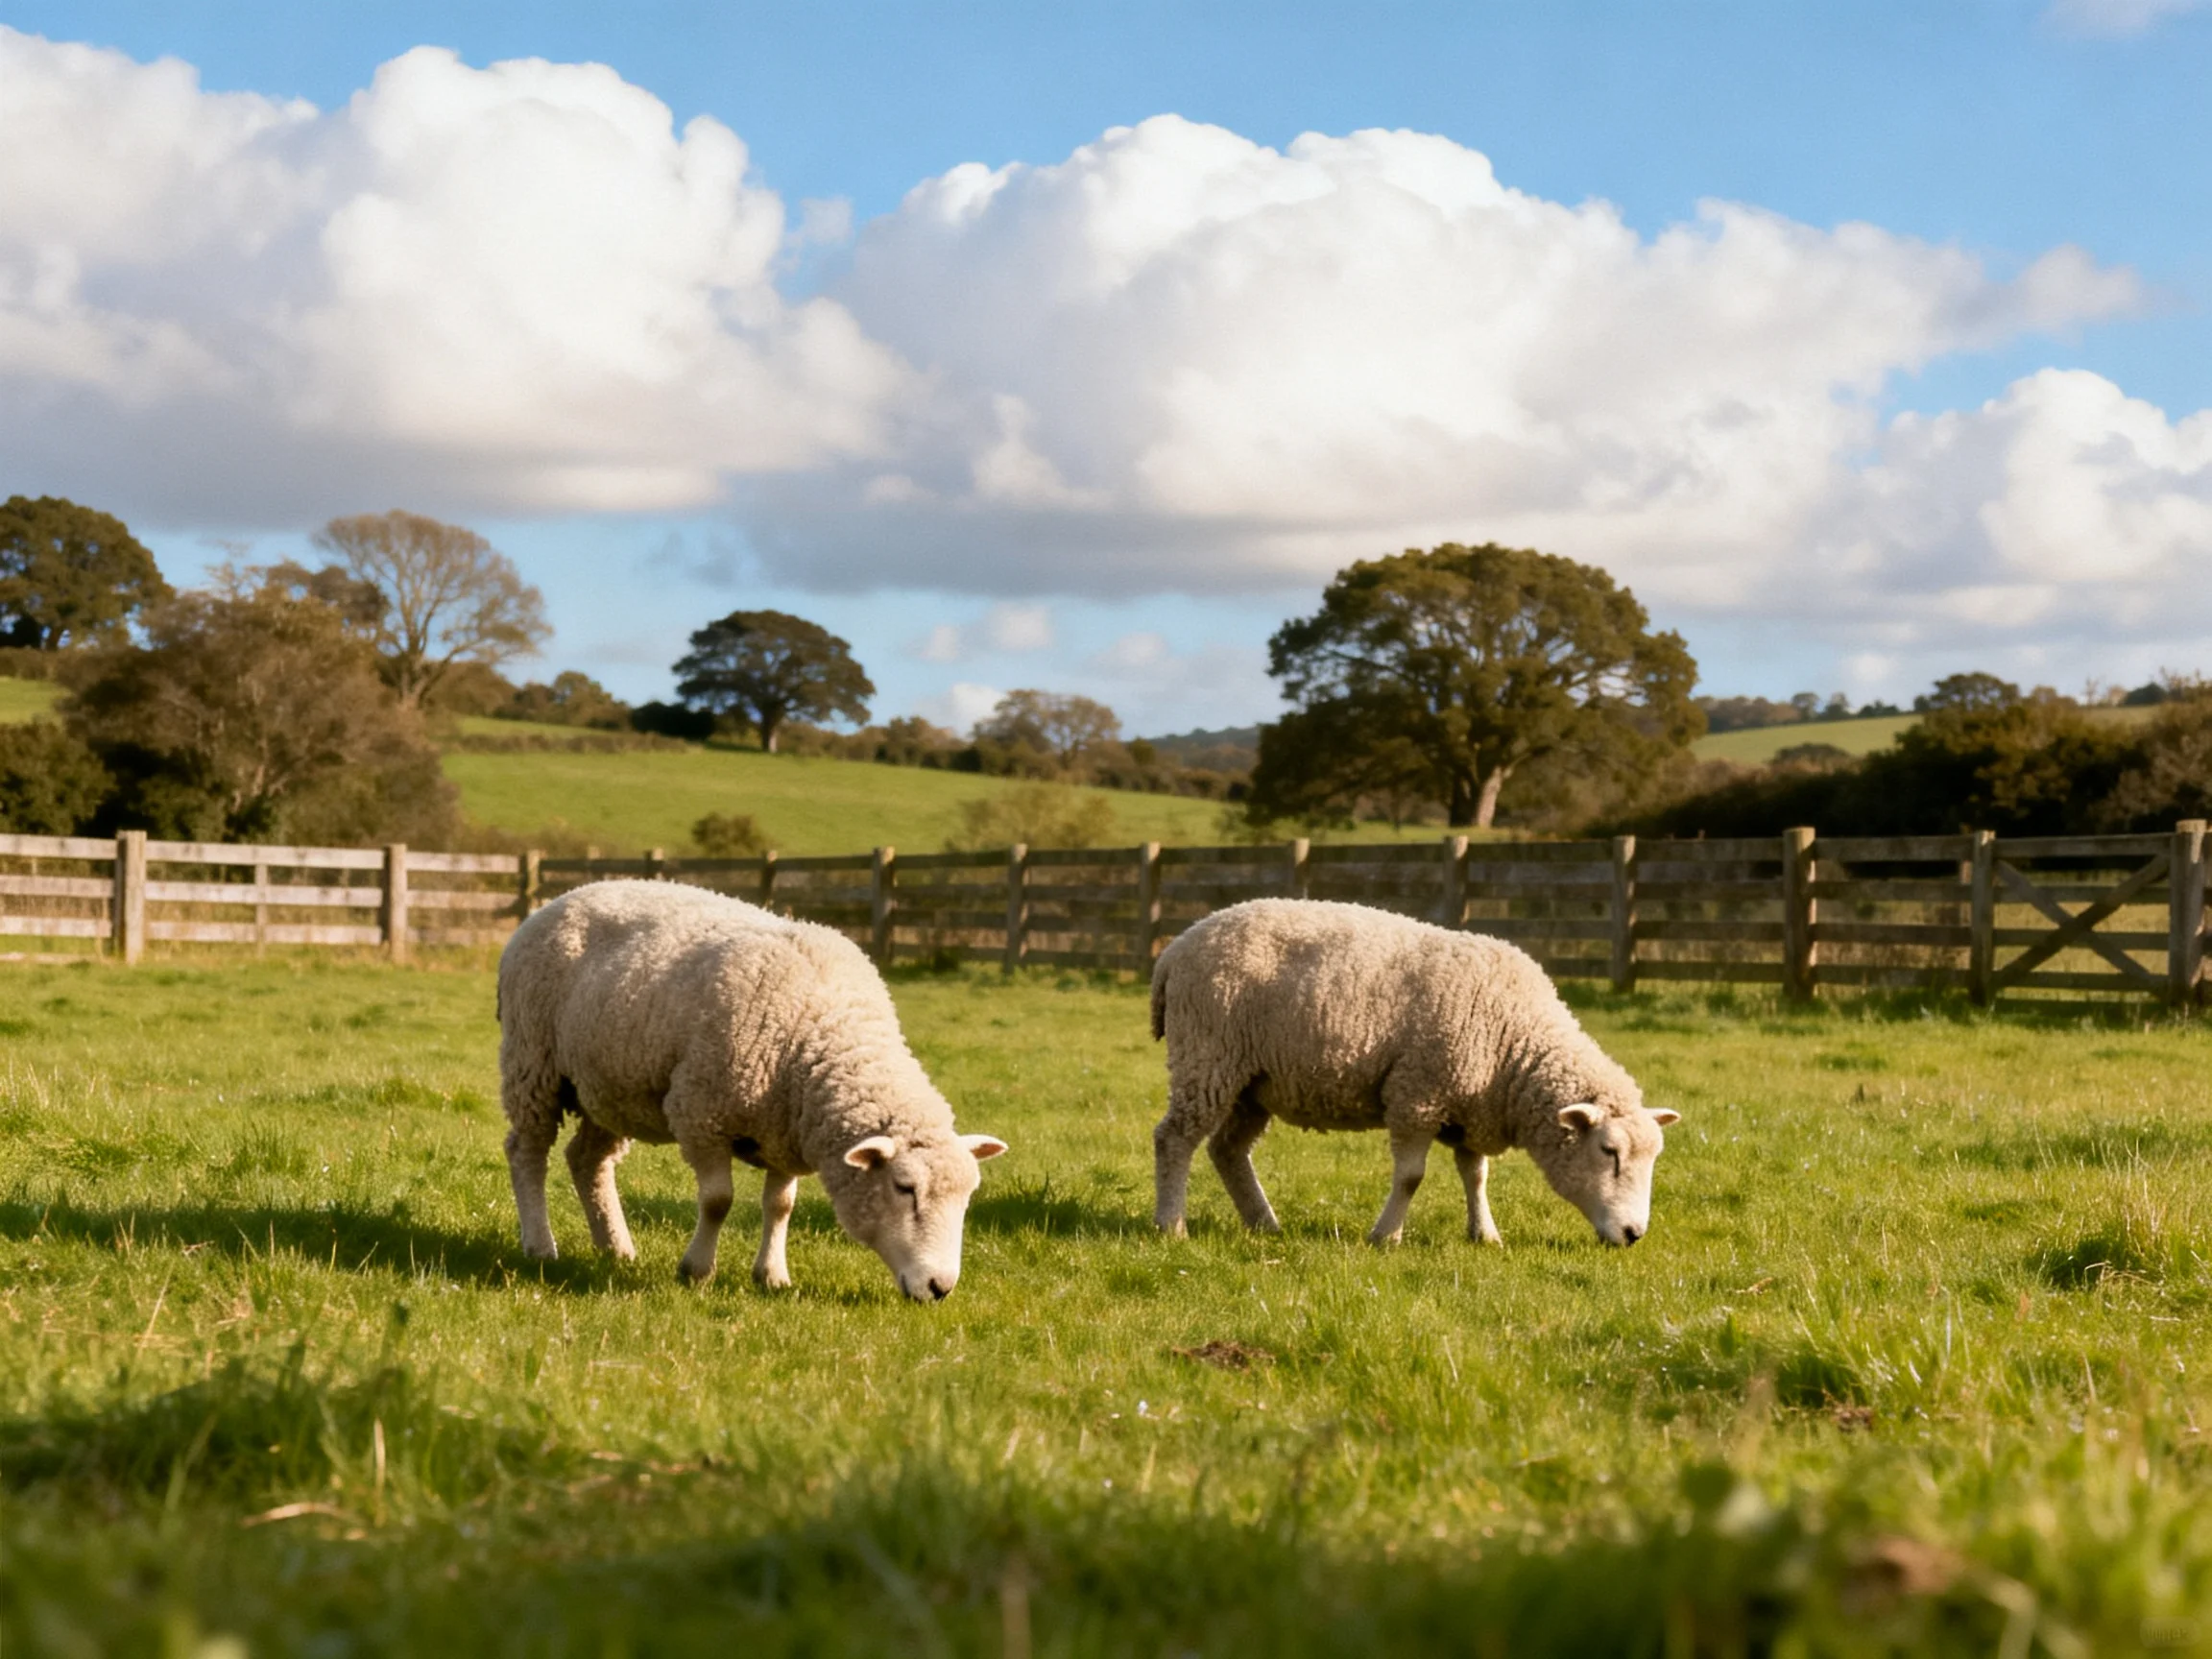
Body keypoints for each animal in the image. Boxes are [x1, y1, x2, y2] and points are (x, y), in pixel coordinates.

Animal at [498, 880, 1006, 1302]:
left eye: (968, 1196)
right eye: (904, 1188)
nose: (939, 1287)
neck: (824, 1032)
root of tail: (563, 896)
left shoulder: (784, 1130)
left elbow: (780, 1206)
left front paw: (772, 1276)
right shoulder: (700, 1113)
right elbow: (718, 1201)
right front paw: (697, 1270)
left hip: (610, 1088)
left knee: (588, 1161)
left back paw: (616, 1248)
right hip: (533, 1061)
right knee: (528, 1151)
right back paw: (540, 1245)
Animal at [1149, 899, 1678, 1248]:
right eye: (1609, 1152)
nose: (1634, 1234)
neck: (1515, 1042)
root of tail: (1177, 947)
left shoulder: (1469, 1106)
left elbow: (1476, 1176)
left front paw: (1484, 1234)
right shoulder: (1417, 1094)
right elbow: (1410, 1177)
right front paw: (1386, 1236)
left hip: (1252, 1083)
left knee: (1227, 1150)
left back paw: (1264, 1223)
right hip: (1207, 1056)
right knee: (1174, 1139)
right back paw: (1172, 1226)